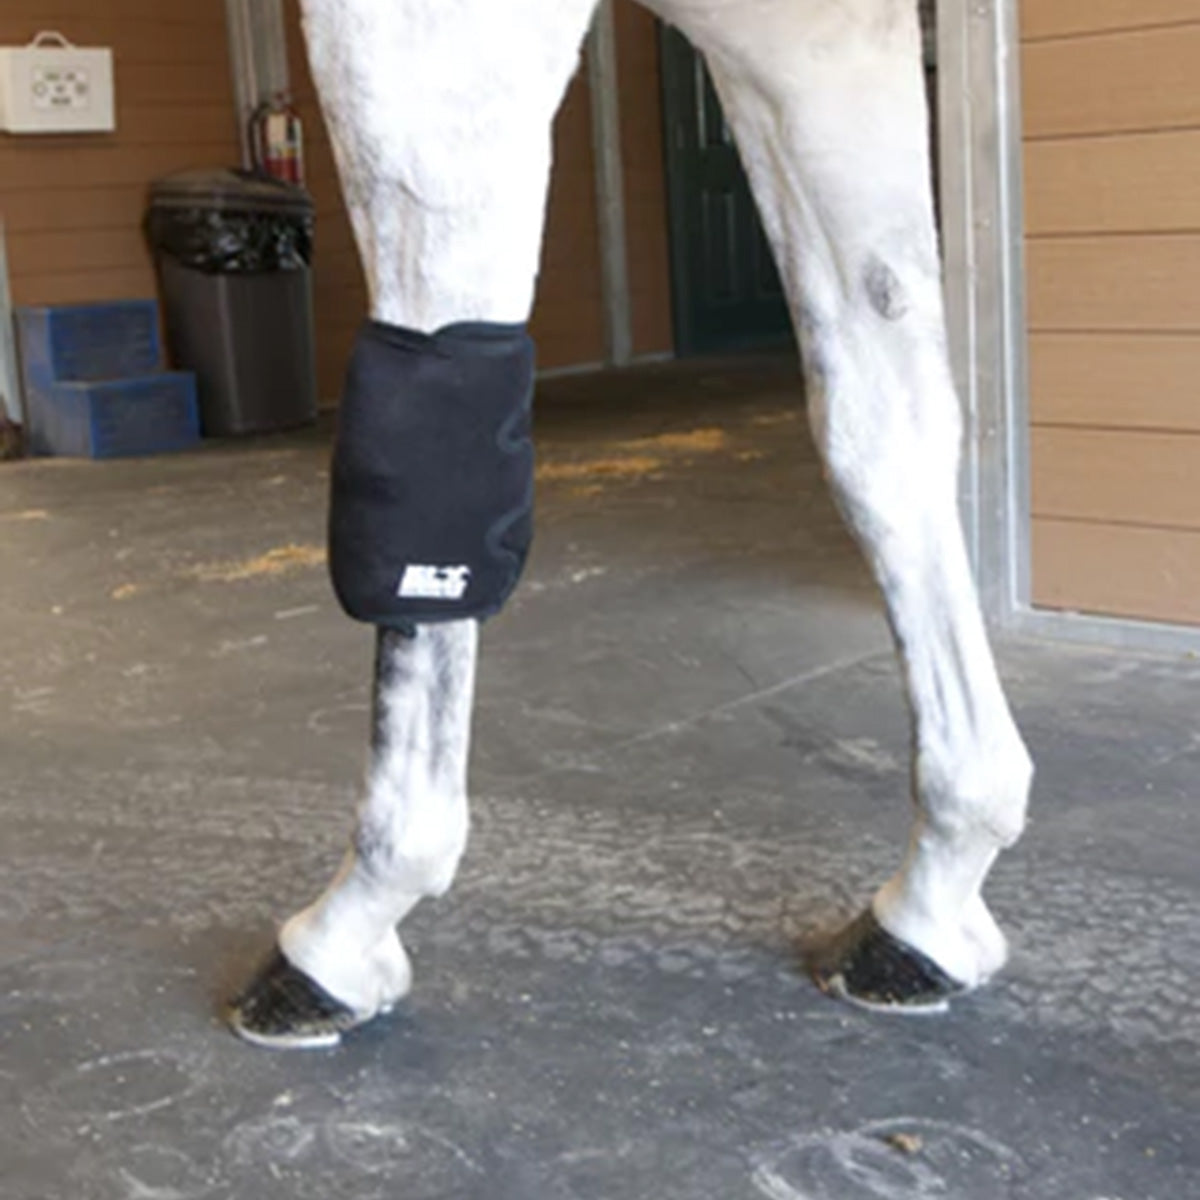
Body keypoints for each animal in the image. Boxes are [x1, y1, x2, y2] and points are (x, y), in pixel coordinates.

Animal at [229, 0, 1032, 1049]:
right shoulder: (810, 39)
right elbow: (880, 430)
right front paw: (939, 890)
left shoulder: (437, 38)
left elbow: (434, 439)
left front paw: (352, 923)